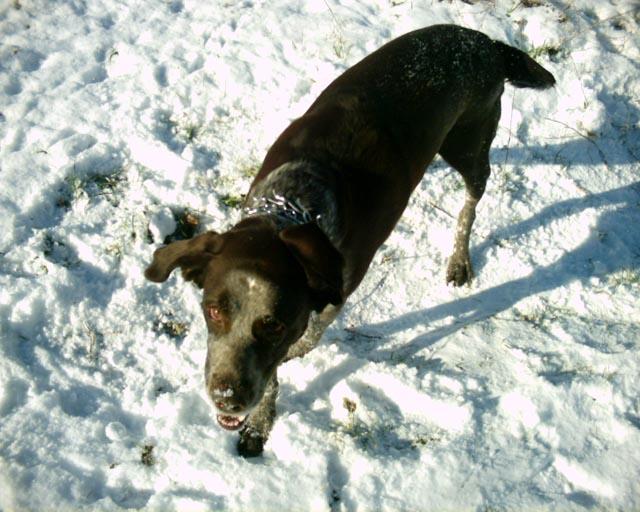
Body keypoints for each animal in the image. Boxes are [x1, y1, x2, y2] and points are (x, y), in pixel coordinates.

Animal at [145, 24, 555, 457]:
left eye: (274, 325)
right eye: (213, 310)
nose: (227, 398)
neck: (292, 210)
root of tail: (487, 43)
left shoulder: (331, 294)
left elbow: (303, 343)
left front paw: (263, 416)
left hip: (468, 141)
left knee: (474, 196)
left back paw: (460, 257)